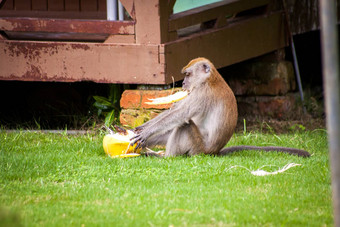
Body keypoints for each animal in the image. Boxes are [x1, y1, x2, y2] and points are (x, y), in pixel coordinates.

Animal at [131, 56, 310, 158]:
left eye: (188, 74)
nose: (183, 83)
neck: (210, 79)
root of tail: (213, 152)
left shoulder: (202, 93)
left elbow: (181, 113)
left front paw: (146, 132)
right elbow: (175, 110)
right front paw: (140, 129)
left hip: (198, 148)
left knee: (185, 125)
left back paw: (166, 157)